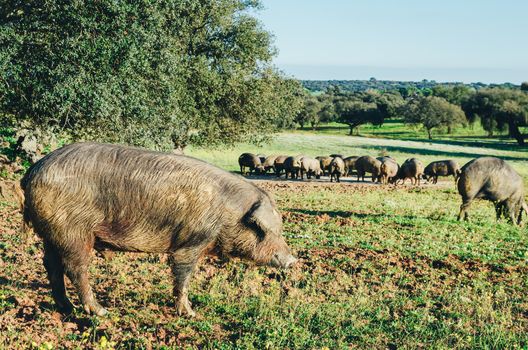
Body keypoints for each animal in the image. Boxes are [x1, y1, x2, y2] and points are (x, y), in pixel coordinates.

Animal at [21, 142, 296, 318]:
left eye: (279, 229)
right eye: (262, 229)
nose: (292, 260)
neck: (228, 214)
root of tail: (33, 171)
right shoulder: (191, 241)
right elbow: (183, 275)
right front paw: (190, 314)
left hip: (50, 233)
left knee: (51, 264)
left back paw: (67, 309)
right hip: (72, 231)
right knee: (75, 268)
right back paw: (100, 312)